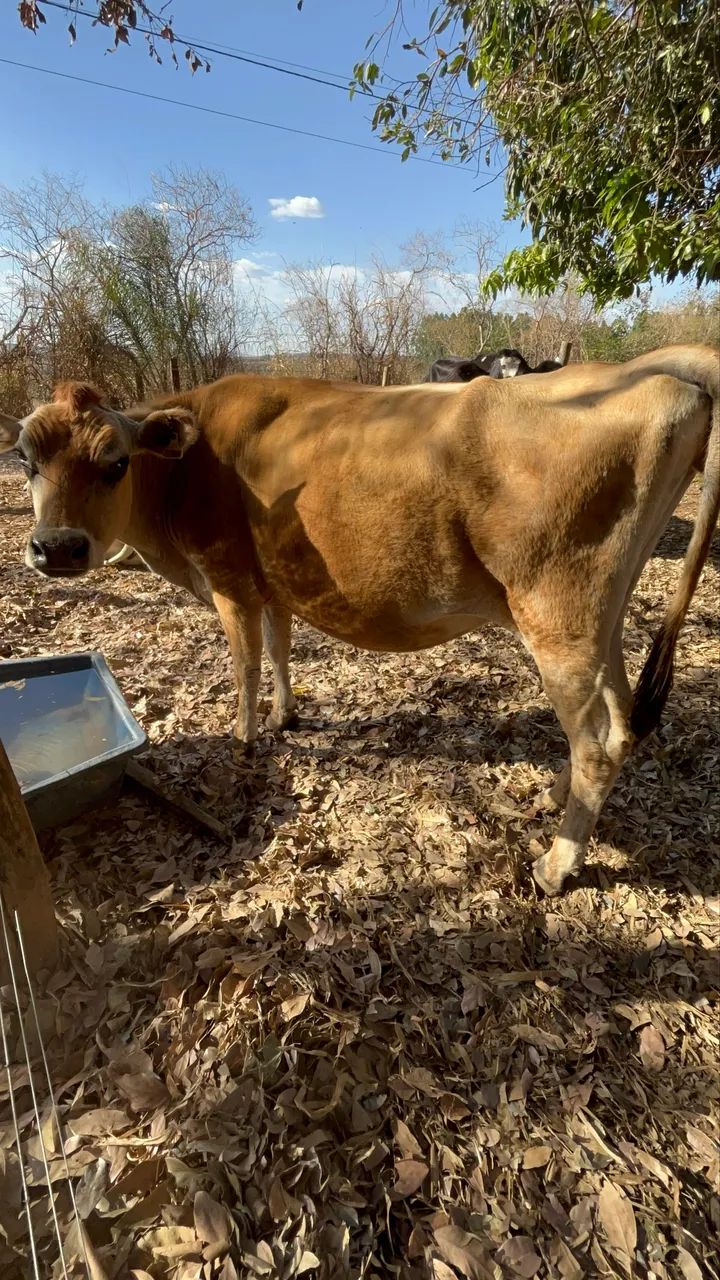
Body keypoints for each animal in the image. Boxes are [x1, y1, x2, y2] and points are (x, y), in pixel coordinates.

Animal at [1, 345, 717, 895]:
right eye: (26, 461)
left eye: (115, 462)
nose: (57, 548)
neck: (185, 472)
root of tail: (648, 368)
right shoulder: (273, 582)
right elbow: (280, 648)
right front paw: (286, 717)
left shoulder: (229, 581)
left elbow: (245, 665)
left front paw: (245, 741)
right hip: (603, 620)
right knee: (621, 720)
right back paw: (554, 794)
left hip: (559, 617)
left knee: (598, 740)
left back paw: (556, 864)